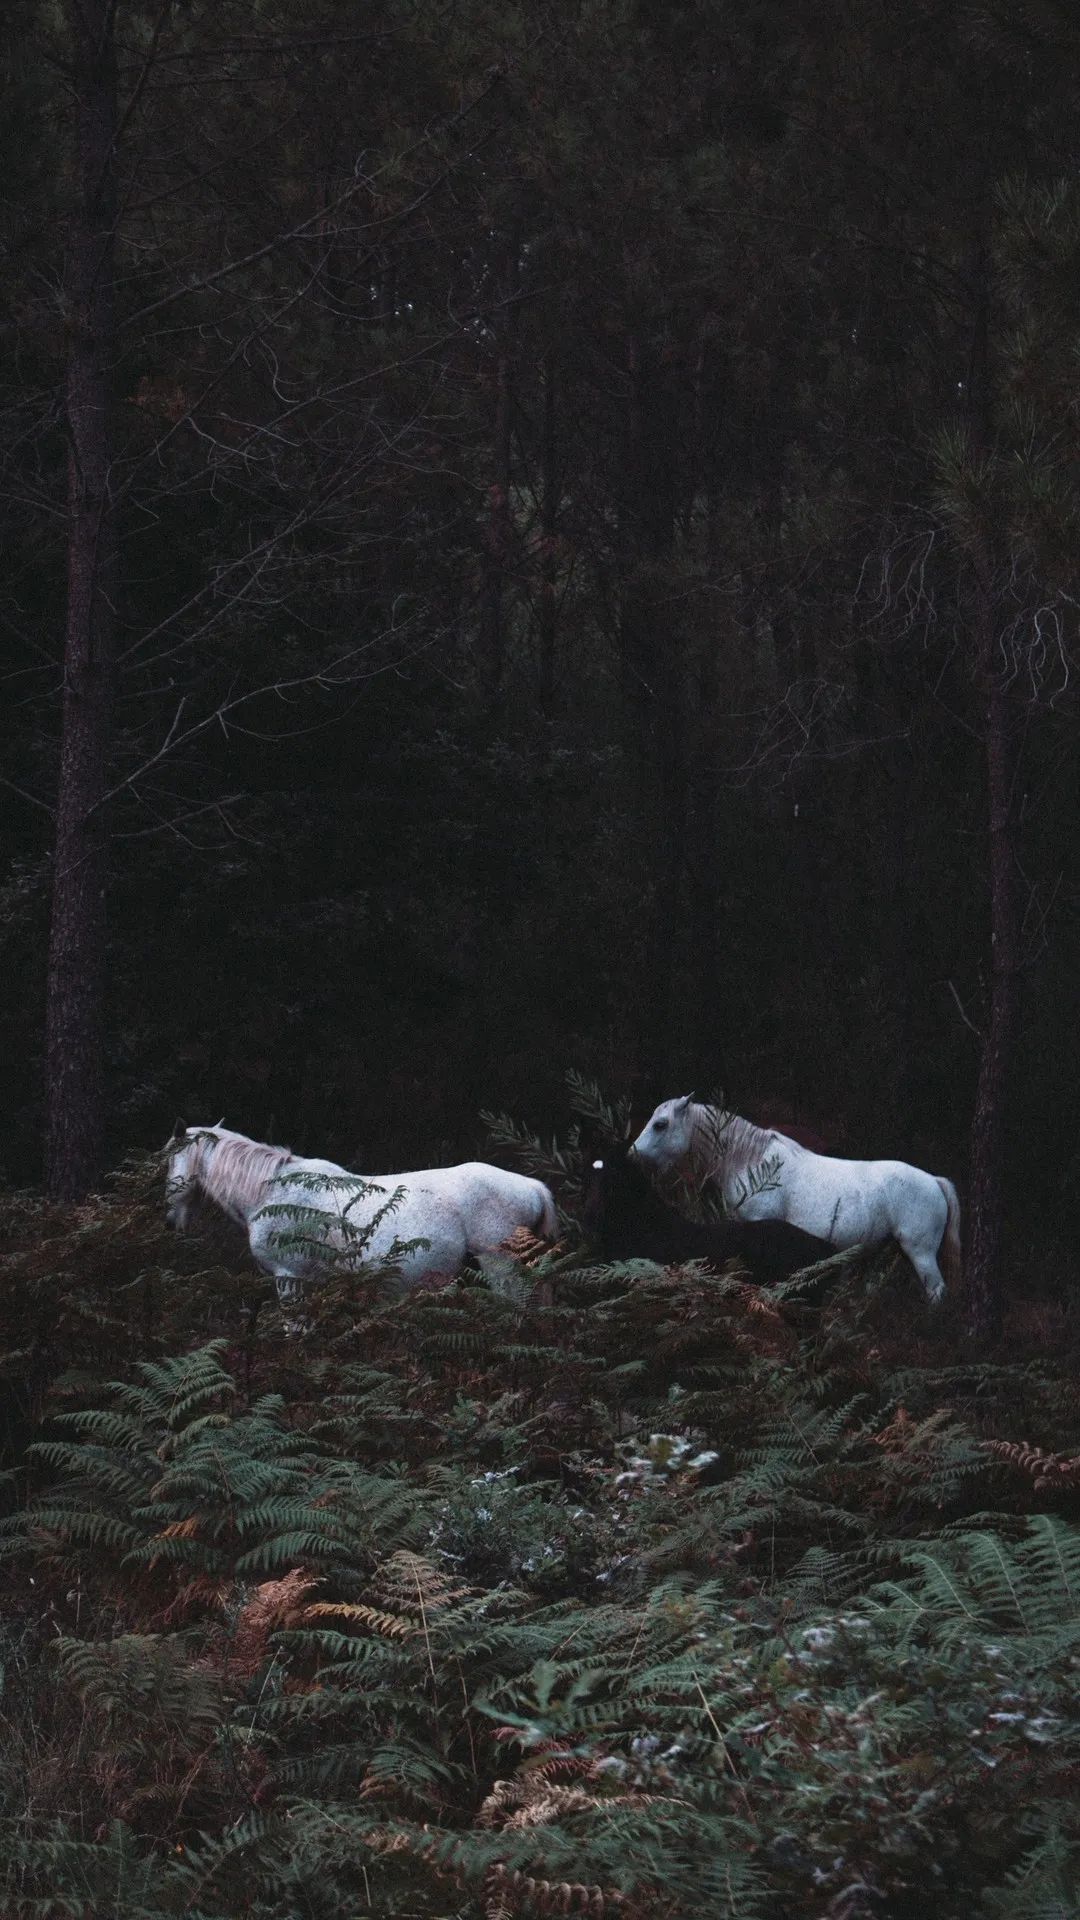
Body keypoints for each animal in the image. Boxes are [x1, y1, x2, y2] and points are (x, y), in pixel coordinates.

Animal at [164, 1123, 558, 1309]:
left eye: (168, 1159)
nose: (170, 1221)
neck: (273, 1193)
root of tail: (533, 1186)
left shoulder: (290, 1278)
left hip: (502, 1268)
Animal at [631, 1096, 961, 1304]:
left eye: (660, 1124)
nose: (632, 1153)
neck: (752, 1161)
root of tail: (934, 1180)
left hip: (920, 1251)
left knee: (937, 1291)